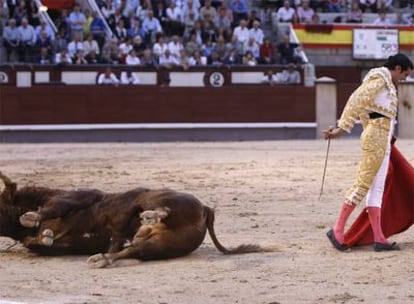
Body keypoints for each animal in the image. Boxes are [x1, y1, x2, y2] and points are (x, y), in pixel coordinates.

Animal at [0, 172, 272, 268]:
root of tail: (206, 209)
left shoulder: (76, 197)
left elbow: (54, 208)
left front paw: (33, 218)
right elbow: (42, 241)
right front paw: (44, 234)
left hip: (155, 196)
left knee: (160, 208)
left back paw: (151, 215)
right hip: (158, 246)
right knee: (129, 251)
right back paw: (102, 258)